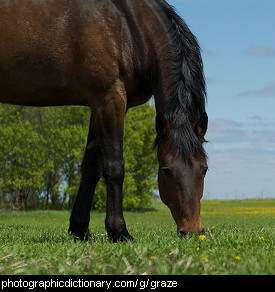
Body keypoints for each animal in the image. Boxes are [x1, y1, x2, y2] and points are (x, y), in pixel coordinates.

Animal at [0, 0, 208, 242]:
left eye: (204, 169)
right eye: (166, 170)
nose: (192, 231)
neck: (129, 26)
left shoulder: (100, 104)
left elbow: (91, 167)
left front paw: (80, 229)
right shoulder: (110, 98)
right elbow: (114, 167)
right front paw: (119, 231)